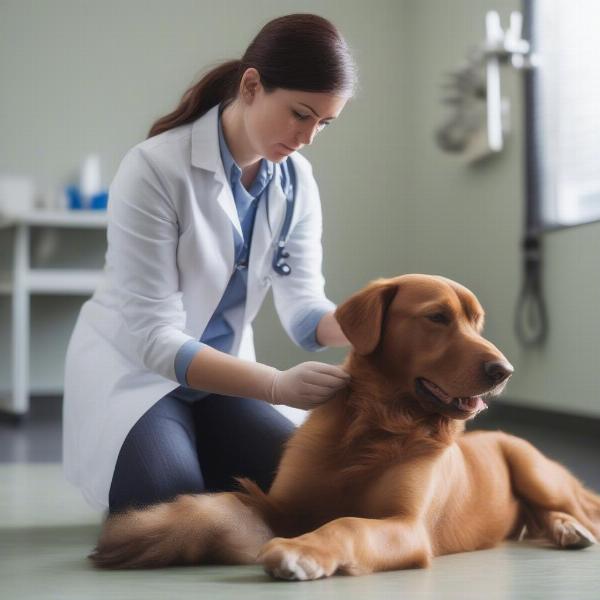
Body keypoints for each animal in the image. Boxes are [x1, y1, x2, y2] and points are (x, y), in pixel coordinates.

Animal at [90, 274, 600, 580]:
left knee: (569, 506)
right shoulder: (285, 506)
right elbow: (221, 509)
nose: (504, 370)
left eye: (477, 323)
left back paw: (570, 527)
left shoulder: (406, 526)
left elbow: (347, 524)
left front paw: (301, 553)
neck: (377, 422)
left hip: (533, 468)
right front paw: (149, 533)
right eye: (437, 318)